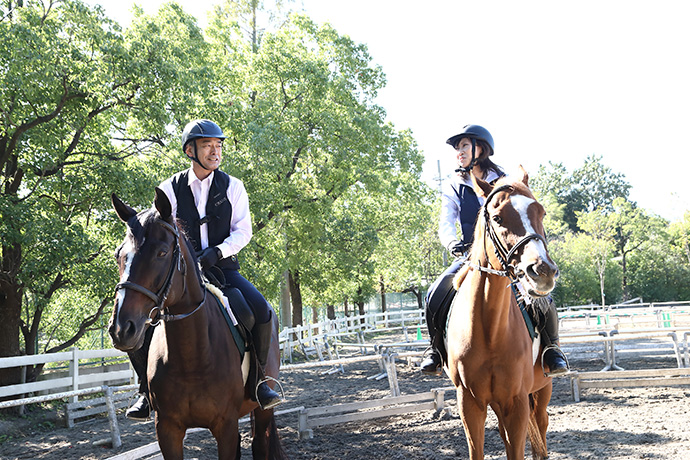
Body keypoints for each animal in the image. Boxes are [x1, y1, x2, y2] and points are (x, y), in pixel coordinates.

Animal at [108, 188, 284, 460]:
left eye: (162, 252)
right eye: (119, 254)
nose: (121, 328)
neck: (190, 356)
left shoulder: (225, 425)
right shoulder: (167, 429)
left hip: (262, 408)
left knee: (260, 444)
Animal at [446, 168, 560, 460]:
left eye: (541, 213)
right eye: (497, 218)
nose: (542, 271)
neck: (490, 330)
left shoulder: (516, 402)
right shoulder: (470, 403)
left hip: (541, 390)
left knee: (541, 427)